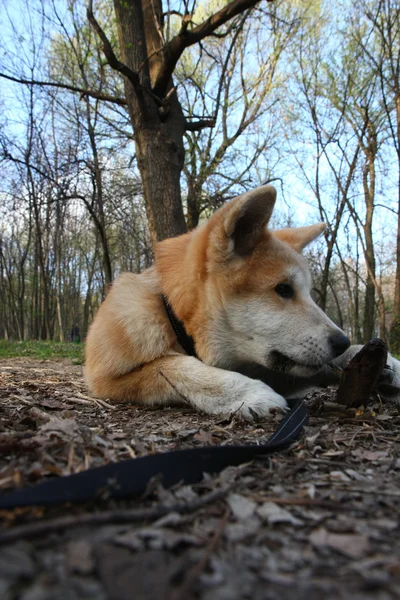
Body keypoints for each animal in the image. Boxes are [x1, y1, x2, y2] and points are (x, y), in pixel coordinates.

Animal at [85, 185, 400, 420]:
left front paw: (373, 360)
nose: (342, 342)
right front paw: (248, 393)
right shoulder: (108, 379)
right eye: (283, 289)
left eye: (308, 292)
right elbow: (174, 366)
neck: (172, 316)